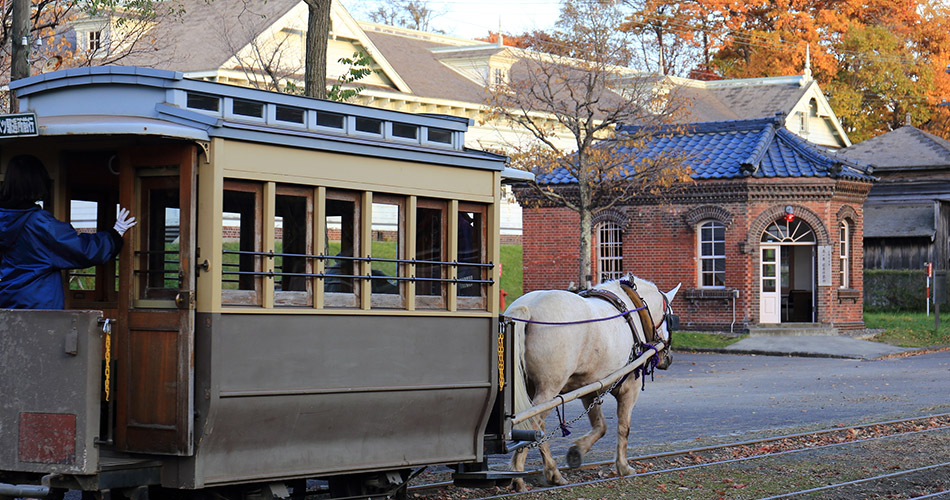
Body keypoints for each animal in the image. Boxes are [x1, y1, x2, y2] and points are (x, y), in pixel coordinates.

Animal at [506, 276, 676, 490]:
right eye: (671, 319)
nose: (669, 358)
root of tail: (527, 306)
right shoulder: (630, 387)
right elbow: (624, 427)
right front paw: (623, 466)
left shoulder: (589, 387)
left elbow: (600, 426)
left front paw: (577, 451)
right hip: (549, 388)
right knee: (533, 424)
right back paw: (519, 476)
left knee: (534, 426)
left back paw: (552, 472)